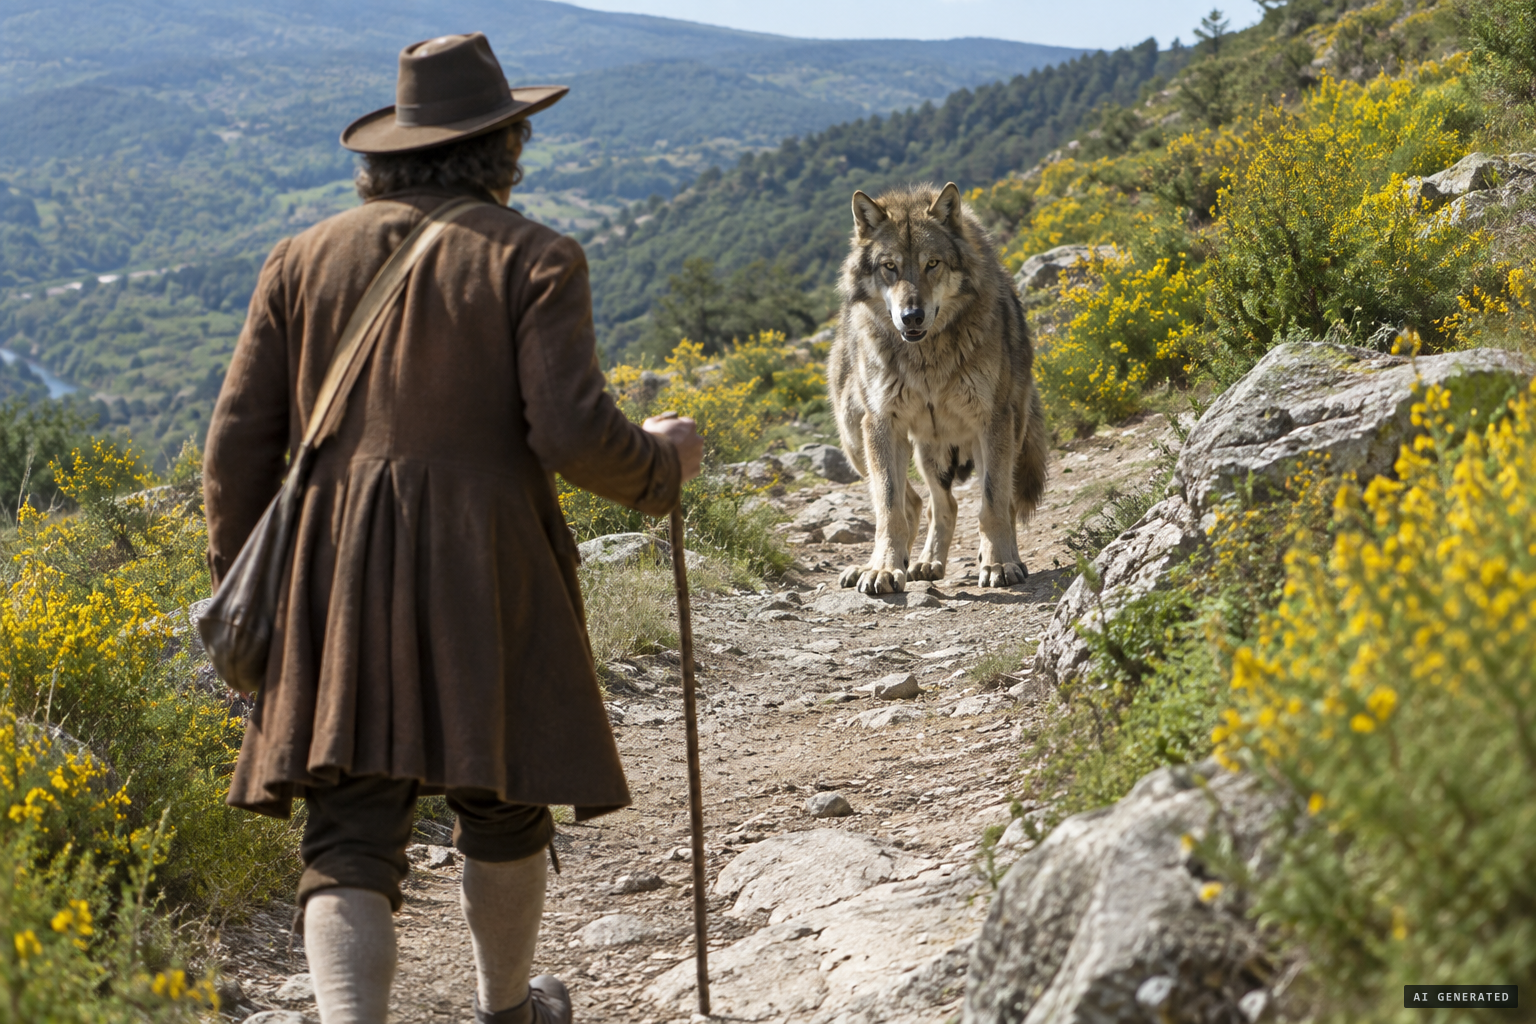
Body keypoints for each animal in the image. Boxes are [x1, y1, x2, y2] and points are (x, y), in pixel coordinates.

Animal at [827, 181, 1047, 594]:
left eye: (933, 263)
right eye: (890, 266)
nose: (912, 316)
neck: (926, 359)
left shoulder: (992, 420)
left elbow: (993, 503)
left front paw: (999, 564)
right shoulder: (882, 423)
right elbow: (889, 507)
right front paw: (883, 569)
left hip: (1002, 433)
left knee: (996, 502)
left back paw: (1002, 559)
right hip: (859, 440)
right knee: (927, 505)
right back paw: (914, 563)